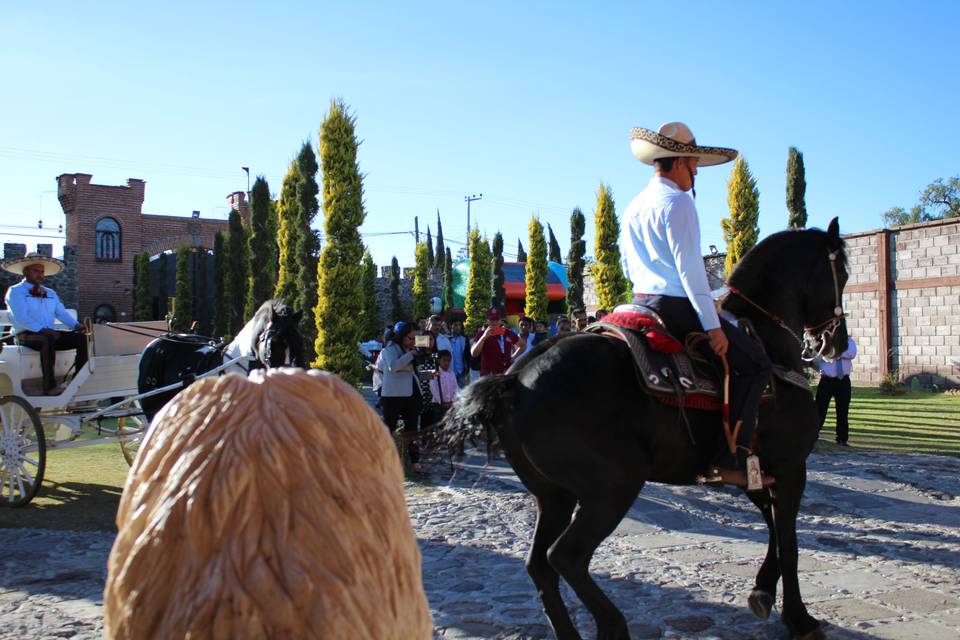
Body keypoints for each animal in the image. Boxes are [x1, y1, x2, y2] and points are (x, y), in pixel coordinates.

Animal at [444, 220, 848, 640]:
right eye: (843, 272)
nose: (837, 342)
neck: (769, 344)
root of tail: (517, 378)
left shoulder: (755, 471)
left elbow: (773, 527)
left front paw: (764, 590)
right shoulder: (789, 467)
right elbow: (788, 541)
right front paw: (799, 618)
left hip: (554, 495)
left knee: (539, 563)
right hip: (614, 486)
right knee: (567, 556)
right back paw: (613, 624)